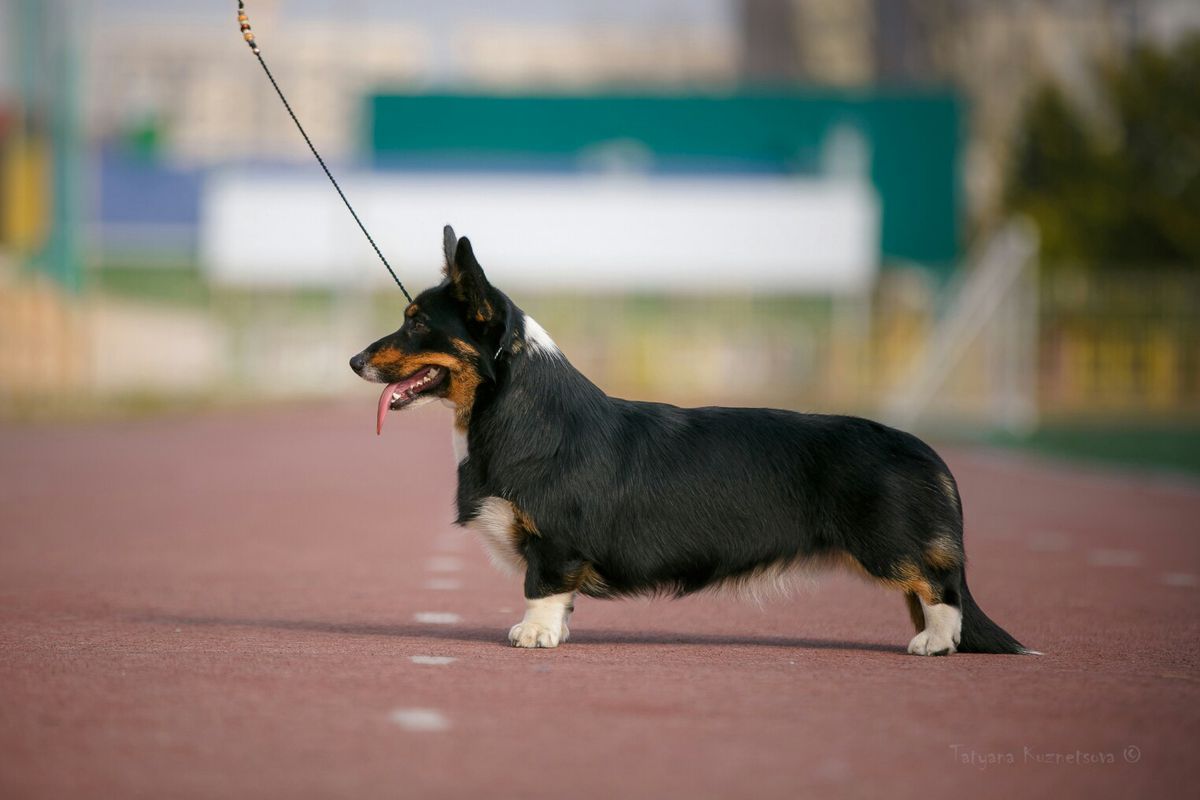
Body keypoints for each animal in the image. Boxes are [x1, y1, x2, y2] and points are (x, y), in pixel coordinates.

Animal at [348, 225, 1032, 657]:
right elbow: (564, 600)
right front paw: (558, 632)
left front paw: (534, 636)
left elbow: (540, 590)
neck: (515, 413)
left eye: (415, 325)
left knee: (939, 589)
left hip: (889, 547)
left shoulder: (555, 543)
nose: (354, 361)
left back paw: (934, 644)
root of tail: (925, 452)